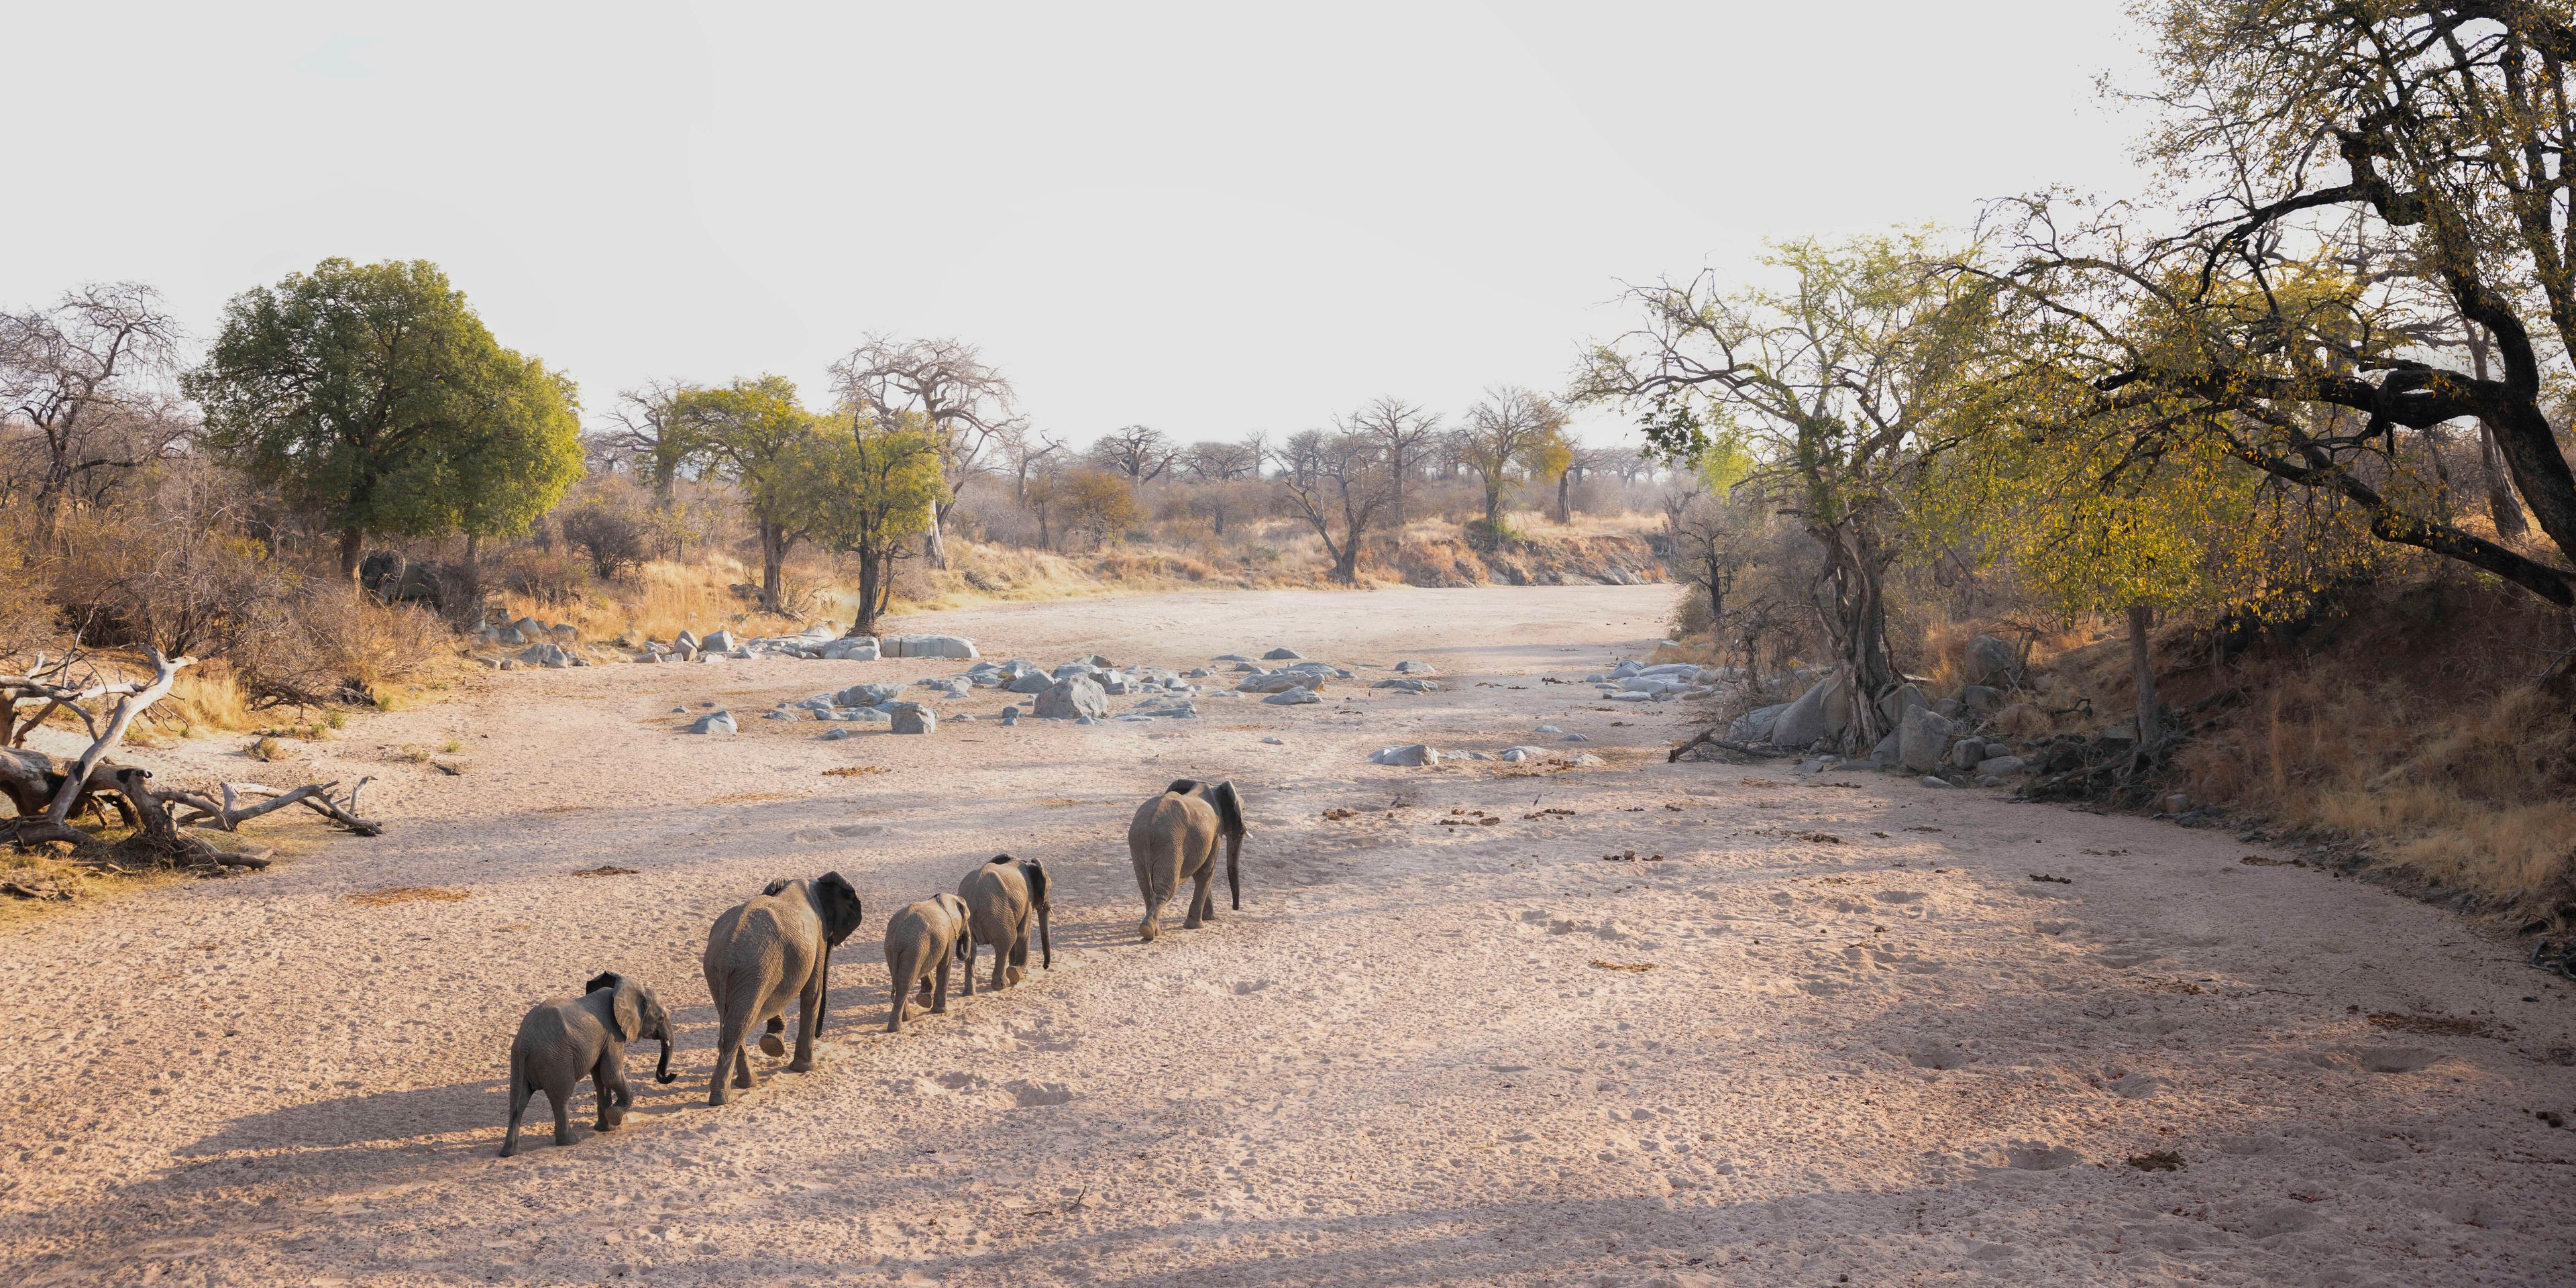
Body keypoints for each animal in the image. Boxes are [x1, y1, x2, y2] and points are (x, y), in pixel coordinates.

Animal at [501, 972, 675, 1157]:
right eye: (661, 1018)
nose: (672, 1074)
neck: (621, 989)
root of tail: (525, 1043)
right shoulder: (613, 1032)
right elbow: (611, 1074)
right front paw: (615, 1116)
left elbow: (600, 1079)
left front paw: (607, 1128)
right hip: (555, 1060)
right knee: (561, 1097)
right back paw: (571, 1141)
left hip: (518, 1061)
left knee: (518, 1099)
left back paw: (509, 1153)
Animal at [701, 872, 864, 1106]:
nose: (820, 1034)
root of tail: (726, 956)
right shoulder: (819, 936)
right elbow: (813, 991)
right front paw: (804, 1069)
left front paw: (773, 1044)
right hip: (754, 969)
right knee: (740, 1023)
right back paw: (723, 1099)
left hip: (724, 972)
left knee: (734, 1019)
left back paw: (744, 1085)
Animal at [882, 893, 973, 1032]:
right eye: (968, 919)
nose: (962, 936)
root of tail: (898, 936)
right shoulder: (948, 934)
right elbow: (945, 966)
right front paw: (940, 1011)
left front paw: (924, 1000)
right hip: (914, 949)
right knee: (905, 984)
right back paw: (897, 1028)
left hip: (896, 949)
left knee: (898, 981)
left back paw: (906, 1019)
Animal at [957, 854, 1051, 994]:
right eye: (1049, 889)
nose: (1045, 966)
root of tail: (973, 899)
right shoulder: (1027, 899)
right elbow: (1023, 934)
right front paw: (1017, 973)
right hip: (998, 913)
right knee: (1006, 943)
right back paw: (1003, 985)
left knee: (970, 951)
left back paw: (969, 992)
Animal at [1128, 778, 1246, 942]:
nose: (1235, 908)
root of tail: (1149, 826)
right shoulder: (1216, 831)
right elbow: (1207, 871)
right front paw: (1197, 925)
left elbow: (1199, 873)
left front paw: (1208, 918)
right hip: (1170, 844)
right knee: (1168, 887)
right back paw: (1149, 931)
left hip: (1138, 843)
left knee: (1145, 886)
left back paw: (1153, 931)